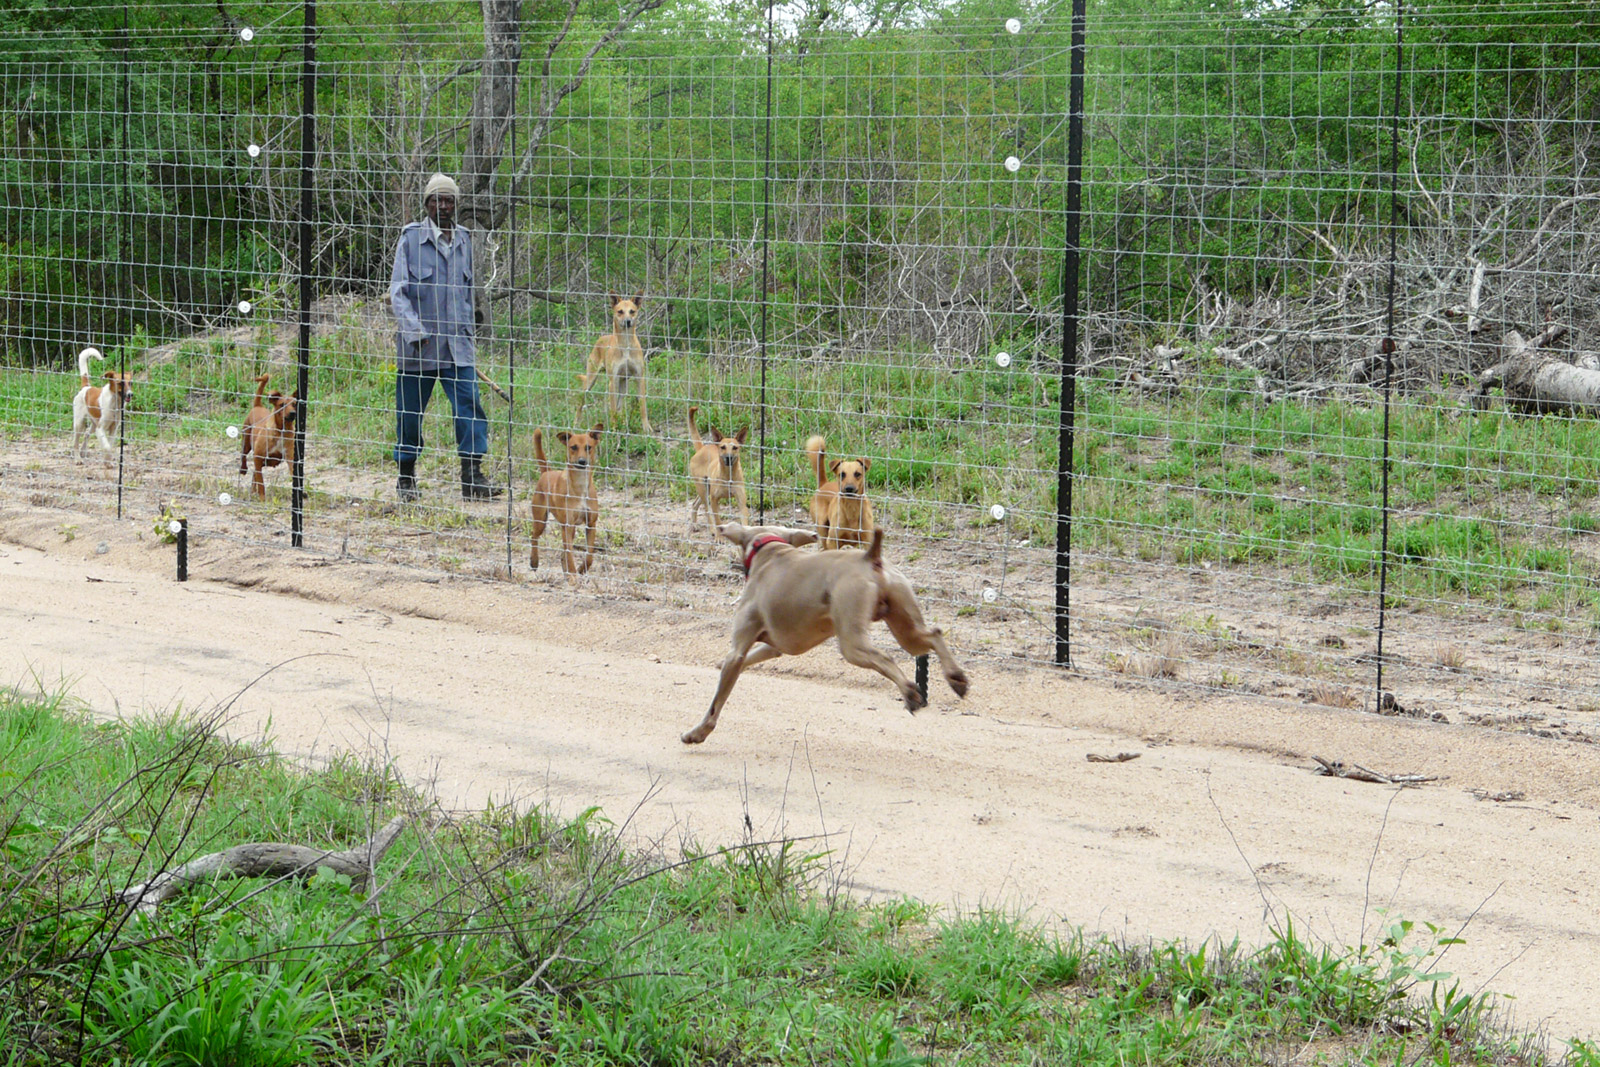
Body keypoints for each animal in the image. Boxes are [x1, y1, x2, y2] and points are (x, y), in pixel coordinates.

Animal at [528, 422, 601, 579]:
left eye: (588, 447)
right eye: (573, 447)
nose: (582, 461)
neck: (580, 487)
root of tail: (547, 472)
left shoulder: (591, 524)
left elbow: (589, 555)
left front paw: (582, 569)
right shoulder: (567, 525)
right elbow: (569, 554)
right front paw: (573, 574)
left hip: (569, 529)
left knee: (563, 553)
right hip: (541, 520)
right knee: (534, 537)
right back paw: (534, 561)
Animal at [579, 294, 652, 435]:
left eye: (632, 311)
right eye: (620, 311)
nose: (628, 321)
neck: (626, 344)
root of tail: (600, 339)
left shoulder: (639, 377)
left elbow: (643, 405)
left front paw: (646, 428)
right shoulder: (613, 381)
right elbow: (612, 410)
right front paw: (613, 430)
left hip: (623, 385)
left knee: (620, 407)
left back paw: (623, 425)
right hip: (591, 381)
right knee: (580, 403)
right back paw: (576, 424)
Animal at [681, 524, 966, 742]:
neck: (771, 552)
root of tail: (870, 557)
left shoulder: (738, 650)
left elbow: (717, 701)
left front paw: (697, 733)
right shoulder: (772, 647)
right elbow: (751, 658)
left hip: (852, 641)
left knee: (886, 659)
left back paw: (910, 692)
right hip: (905, 627)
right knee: (933, 635)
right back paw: (956, 679)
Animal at [684, 404, 752, 537]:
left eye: (735, 447)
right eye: (723, 447)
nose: (728, 458)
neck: (728, 476)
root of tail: (702, 448)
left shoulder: (741, 502)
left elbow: (744, 521)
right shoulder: (714, 499)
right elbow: (717, 520)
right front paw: (719, 537)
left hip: (705, 489)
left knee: (695, 504)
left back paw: (695, 524)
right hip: (703, 490)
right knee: (706, 510)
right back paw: (711, 530)